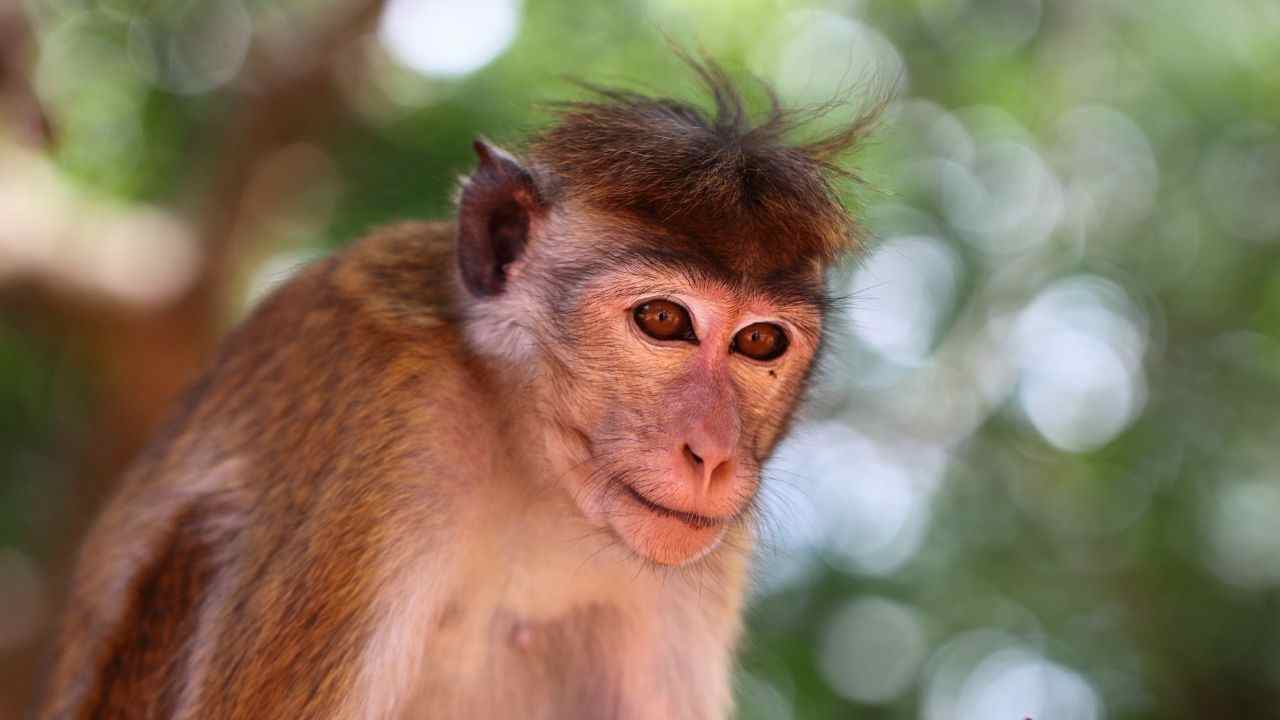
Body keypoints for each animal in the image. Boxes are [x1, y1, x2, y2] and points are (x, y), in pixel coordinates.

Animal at [37, 59, 880, 719]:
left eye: (760, 341)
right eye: (665, 320)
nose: (712, 453)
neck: (529, 453)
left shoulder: (704, 550)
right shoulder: (388, 426)